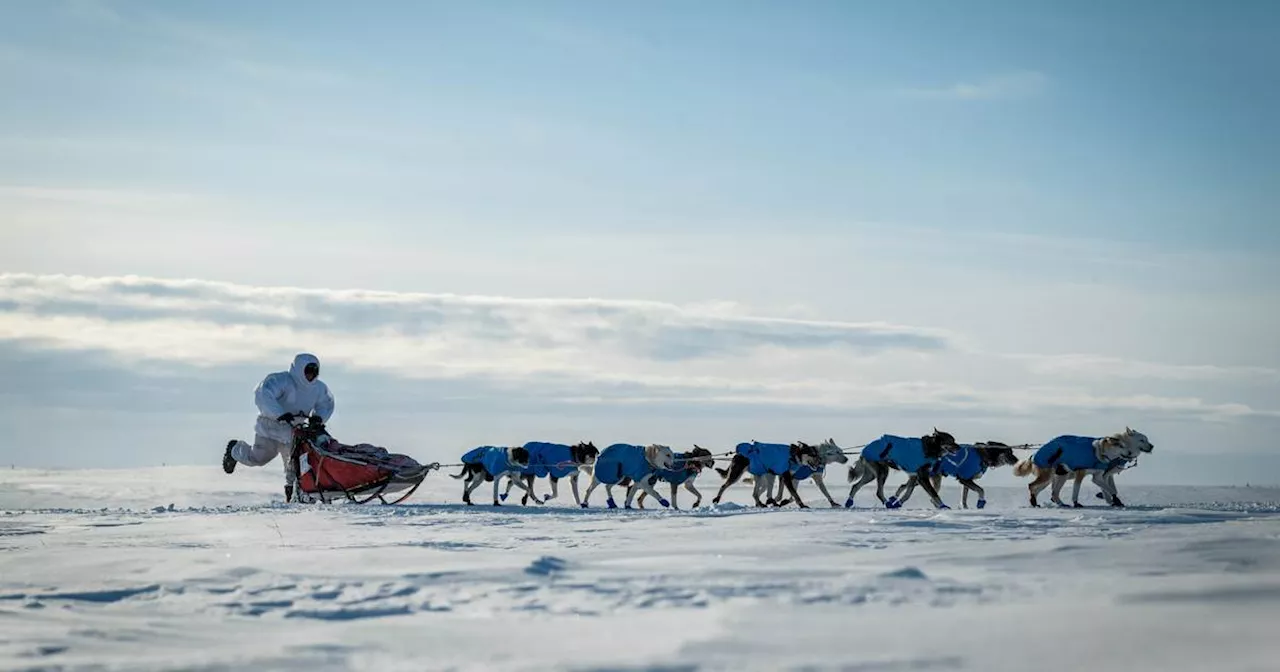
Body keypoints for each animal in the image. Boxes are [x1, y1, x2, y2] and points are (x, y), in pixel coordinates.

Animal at [890, 440, 1018, 509]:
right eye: (1009, 452)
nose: (1017, 460)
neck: (983, 454)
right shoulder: (965, 479)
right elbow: (981, 490)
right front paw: (980, 502)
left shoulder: (966, 481)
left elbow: (964, 496)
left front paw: (965, 507)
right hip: (930, 478)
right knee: (930, 495)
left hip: (929, 477)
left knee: (904, 486)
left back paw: (894, 499)